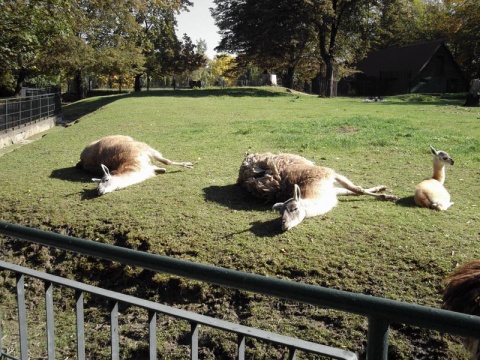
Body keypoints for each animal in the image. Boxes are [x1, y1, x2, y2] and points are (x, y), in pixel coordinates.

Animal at [236, 152, 398, 231]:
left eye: (294, 208)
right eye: (280, 212)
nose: (283, 225)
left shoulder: (331, 175)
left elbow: (356, 189)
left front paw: (388, 195)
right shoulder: (333, 190)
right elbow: (354, 191)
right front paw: (383, 191)